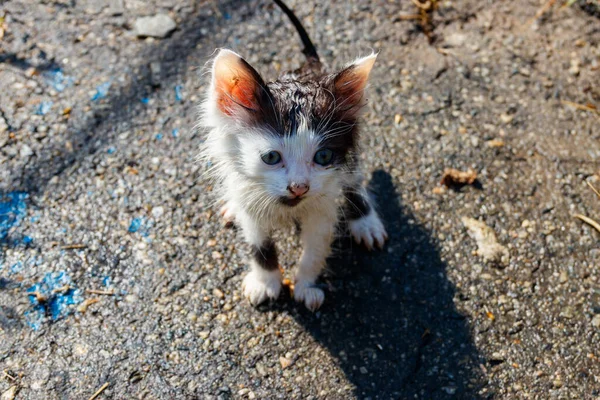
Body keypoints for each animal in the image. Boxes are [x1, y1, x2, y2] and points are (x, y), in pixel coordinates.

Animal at [199, 0, 386, 310]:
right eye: (271, 158)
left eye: (323, 157)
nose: (299, 187)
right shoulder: (252, 208)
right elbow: (259, 246)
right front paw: (266, 283)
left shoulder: (324, 200)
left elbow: (316, 246)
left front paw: (306, 286)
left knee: (353, 178)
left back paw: (365, 221)